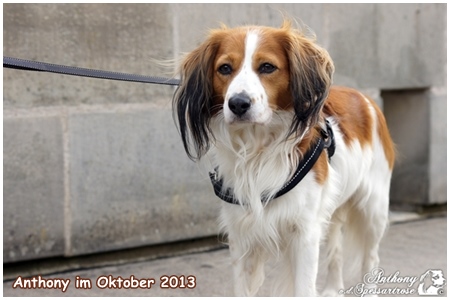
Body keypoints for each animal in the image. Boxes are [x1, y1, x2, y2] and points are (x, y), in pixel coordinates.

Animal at [172, 19, 394, 296]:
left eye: (267, 67)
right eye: (224, 68)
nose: (237, 103)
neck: (257, 149)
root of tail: (365, 98)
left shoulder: (305, 233)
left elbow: (304, 287)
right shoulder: (240, 236)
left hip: (373, 209)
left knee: (371, 258)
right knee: (336, 248)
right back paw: (332, 289)